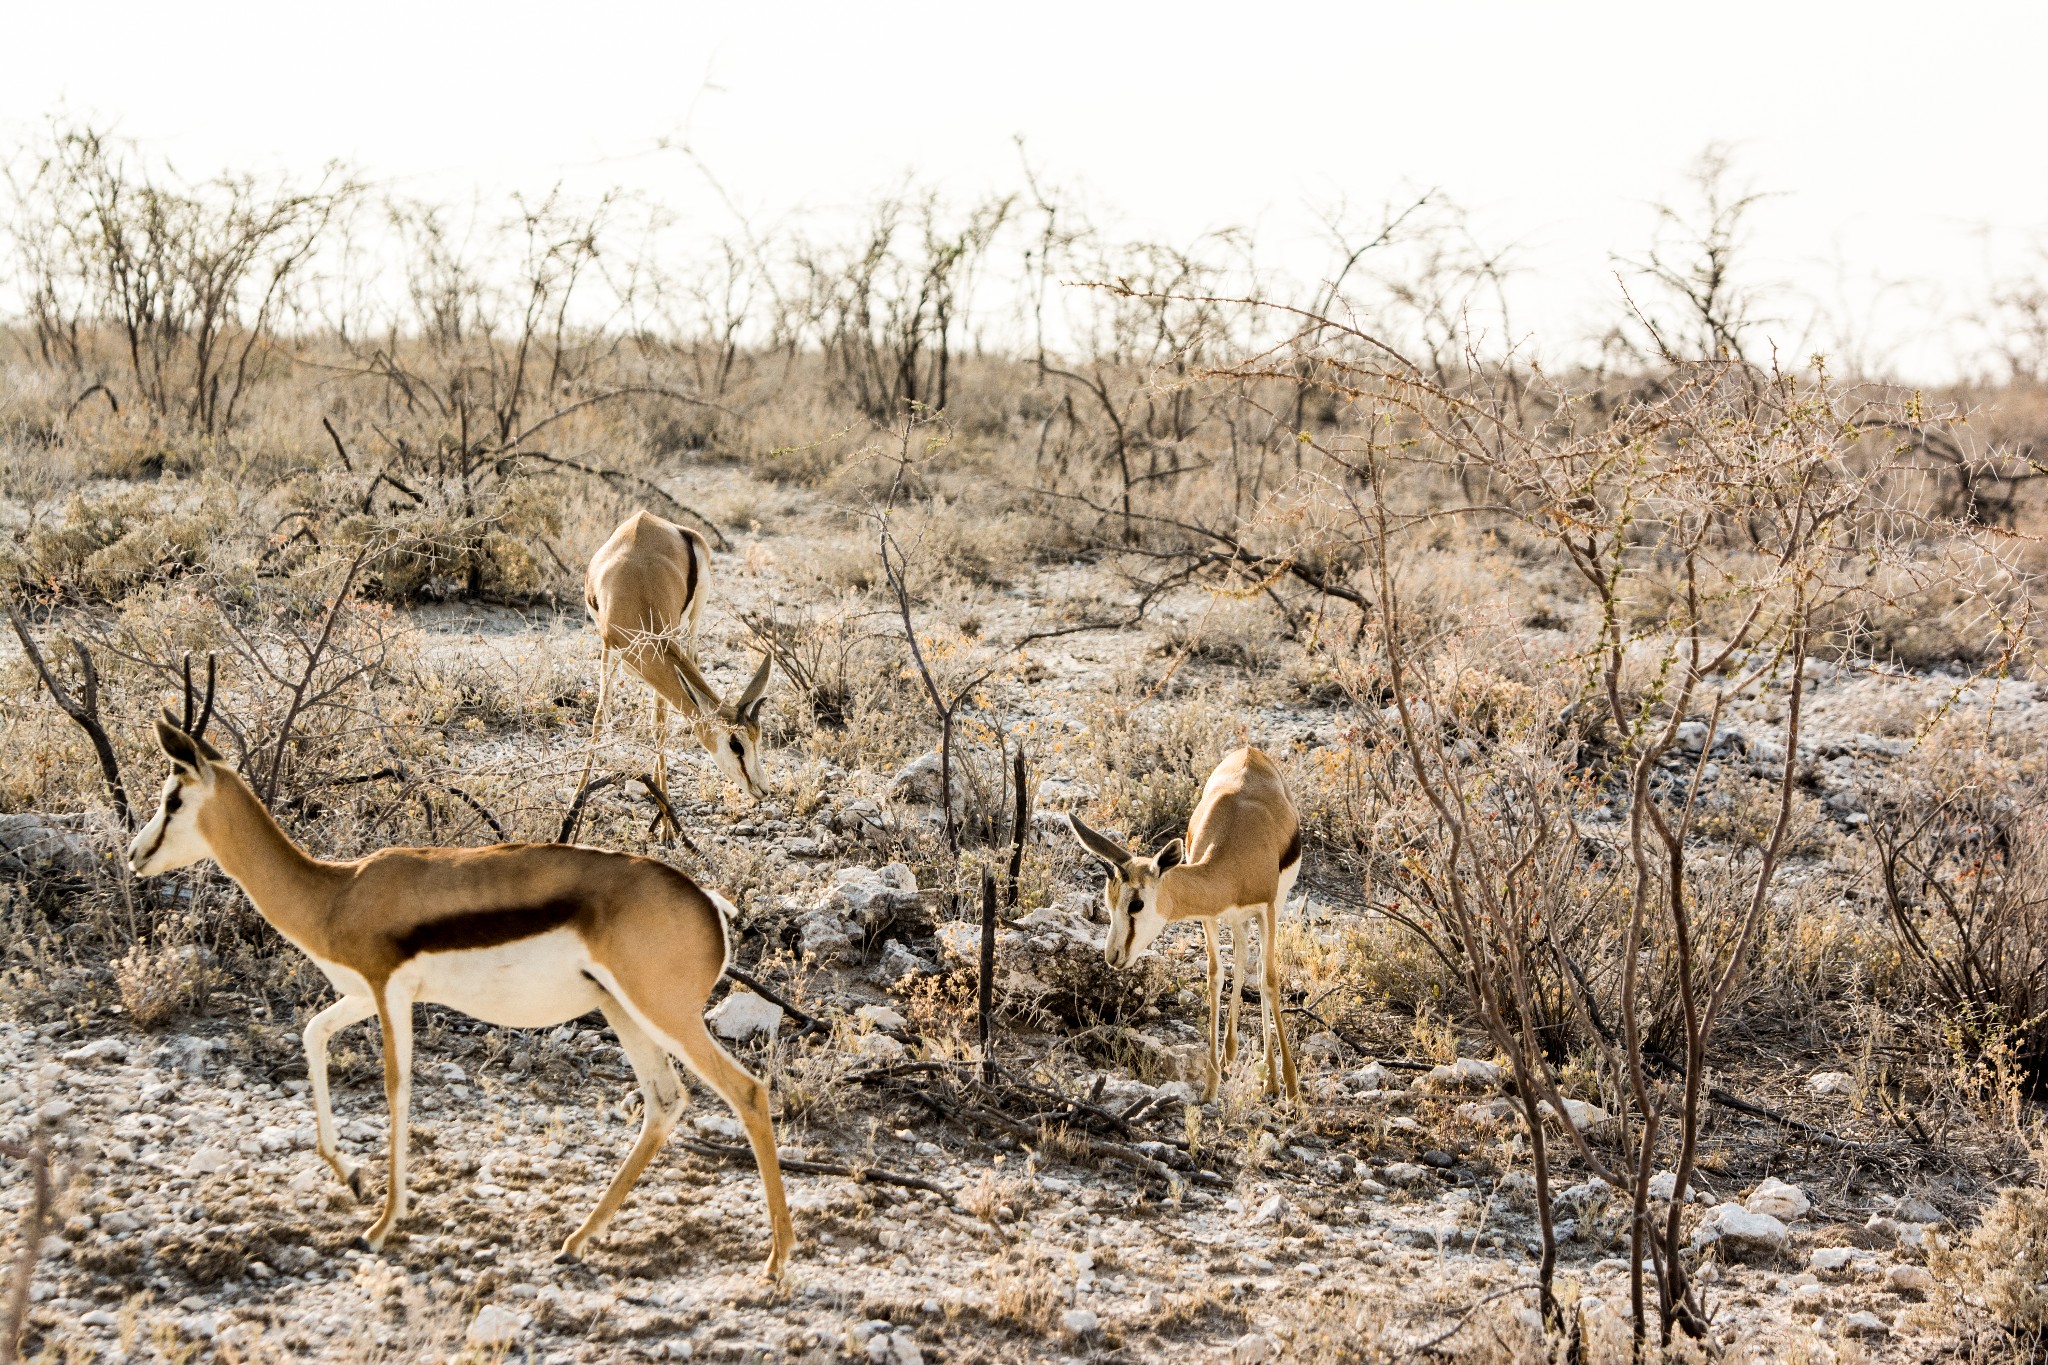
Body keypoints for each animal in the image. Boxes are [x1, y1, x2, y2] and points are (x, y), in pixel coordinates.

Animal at [130, 667, 790, 1277]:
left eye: (172, 798)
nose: (136, 855)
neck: (337, 892)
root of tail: (709, 903)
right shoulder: (363, 995)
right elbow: (313, 1035)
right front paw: (352, 1178)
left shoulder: (389, 992)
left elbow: (396, 1089)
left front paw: (381, 1224)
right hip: (620, 1010)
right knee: (664, 1103)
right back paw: (576, 1241)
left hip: (665, 1014)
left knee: (747, 1093)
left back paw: (776, 1262)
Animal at [585, 511, 774, 802]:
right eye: (736, 744)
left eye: (758, 739)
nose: (762, 789)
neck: (636, 592)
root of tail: (646, 517)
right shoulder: (609, 648)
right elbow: (600, 717)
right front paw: (576, 799)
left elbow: (659, 725)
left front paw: (664, 806)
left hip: (692, 623)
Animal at [1064, 753, 1302, 1105]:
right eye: (1108, 902)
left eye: (1136, 904)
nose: (1113, 956)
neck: (1235, 863)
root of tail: (1250, 752)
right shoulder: (1210, 915)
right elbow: (1215, 977)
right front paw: (1210, 1087)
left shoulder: (1268, 908)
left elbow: (1270, 982)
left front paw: (1292, 1088)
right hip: (1236, 919)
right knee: (1243, 957)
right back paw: (1237, 1058)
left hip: (1271, 909)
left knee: (1260, 972)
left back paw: (1272, 1080)